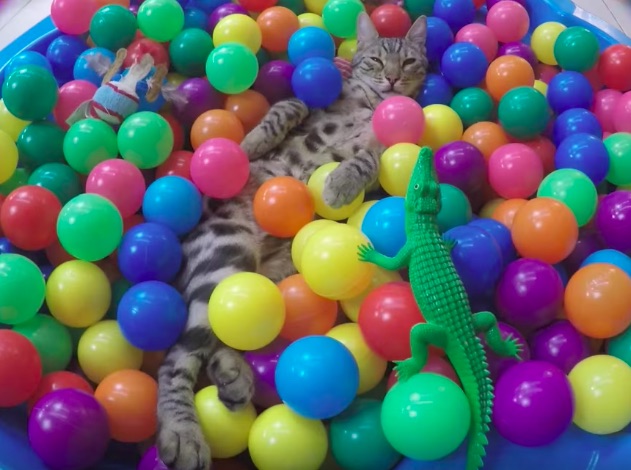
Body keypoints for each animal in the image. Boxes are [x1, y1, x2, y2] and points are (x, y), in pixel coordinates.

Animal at [156, 12, 429, 470]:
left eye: (408, 62)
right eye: (375, 60)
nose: (392, 79)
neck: (371, 103)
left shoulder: (389, 145)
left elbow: (368, 160)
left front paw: (340, 183)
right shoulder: (312, 103)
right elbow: (289, 105)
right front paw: (252, 142)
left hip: (272, 273)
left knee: (219, 334)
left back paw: (229, 376)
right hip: (224, 254)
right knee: (176, 358)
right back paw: (182, 430)